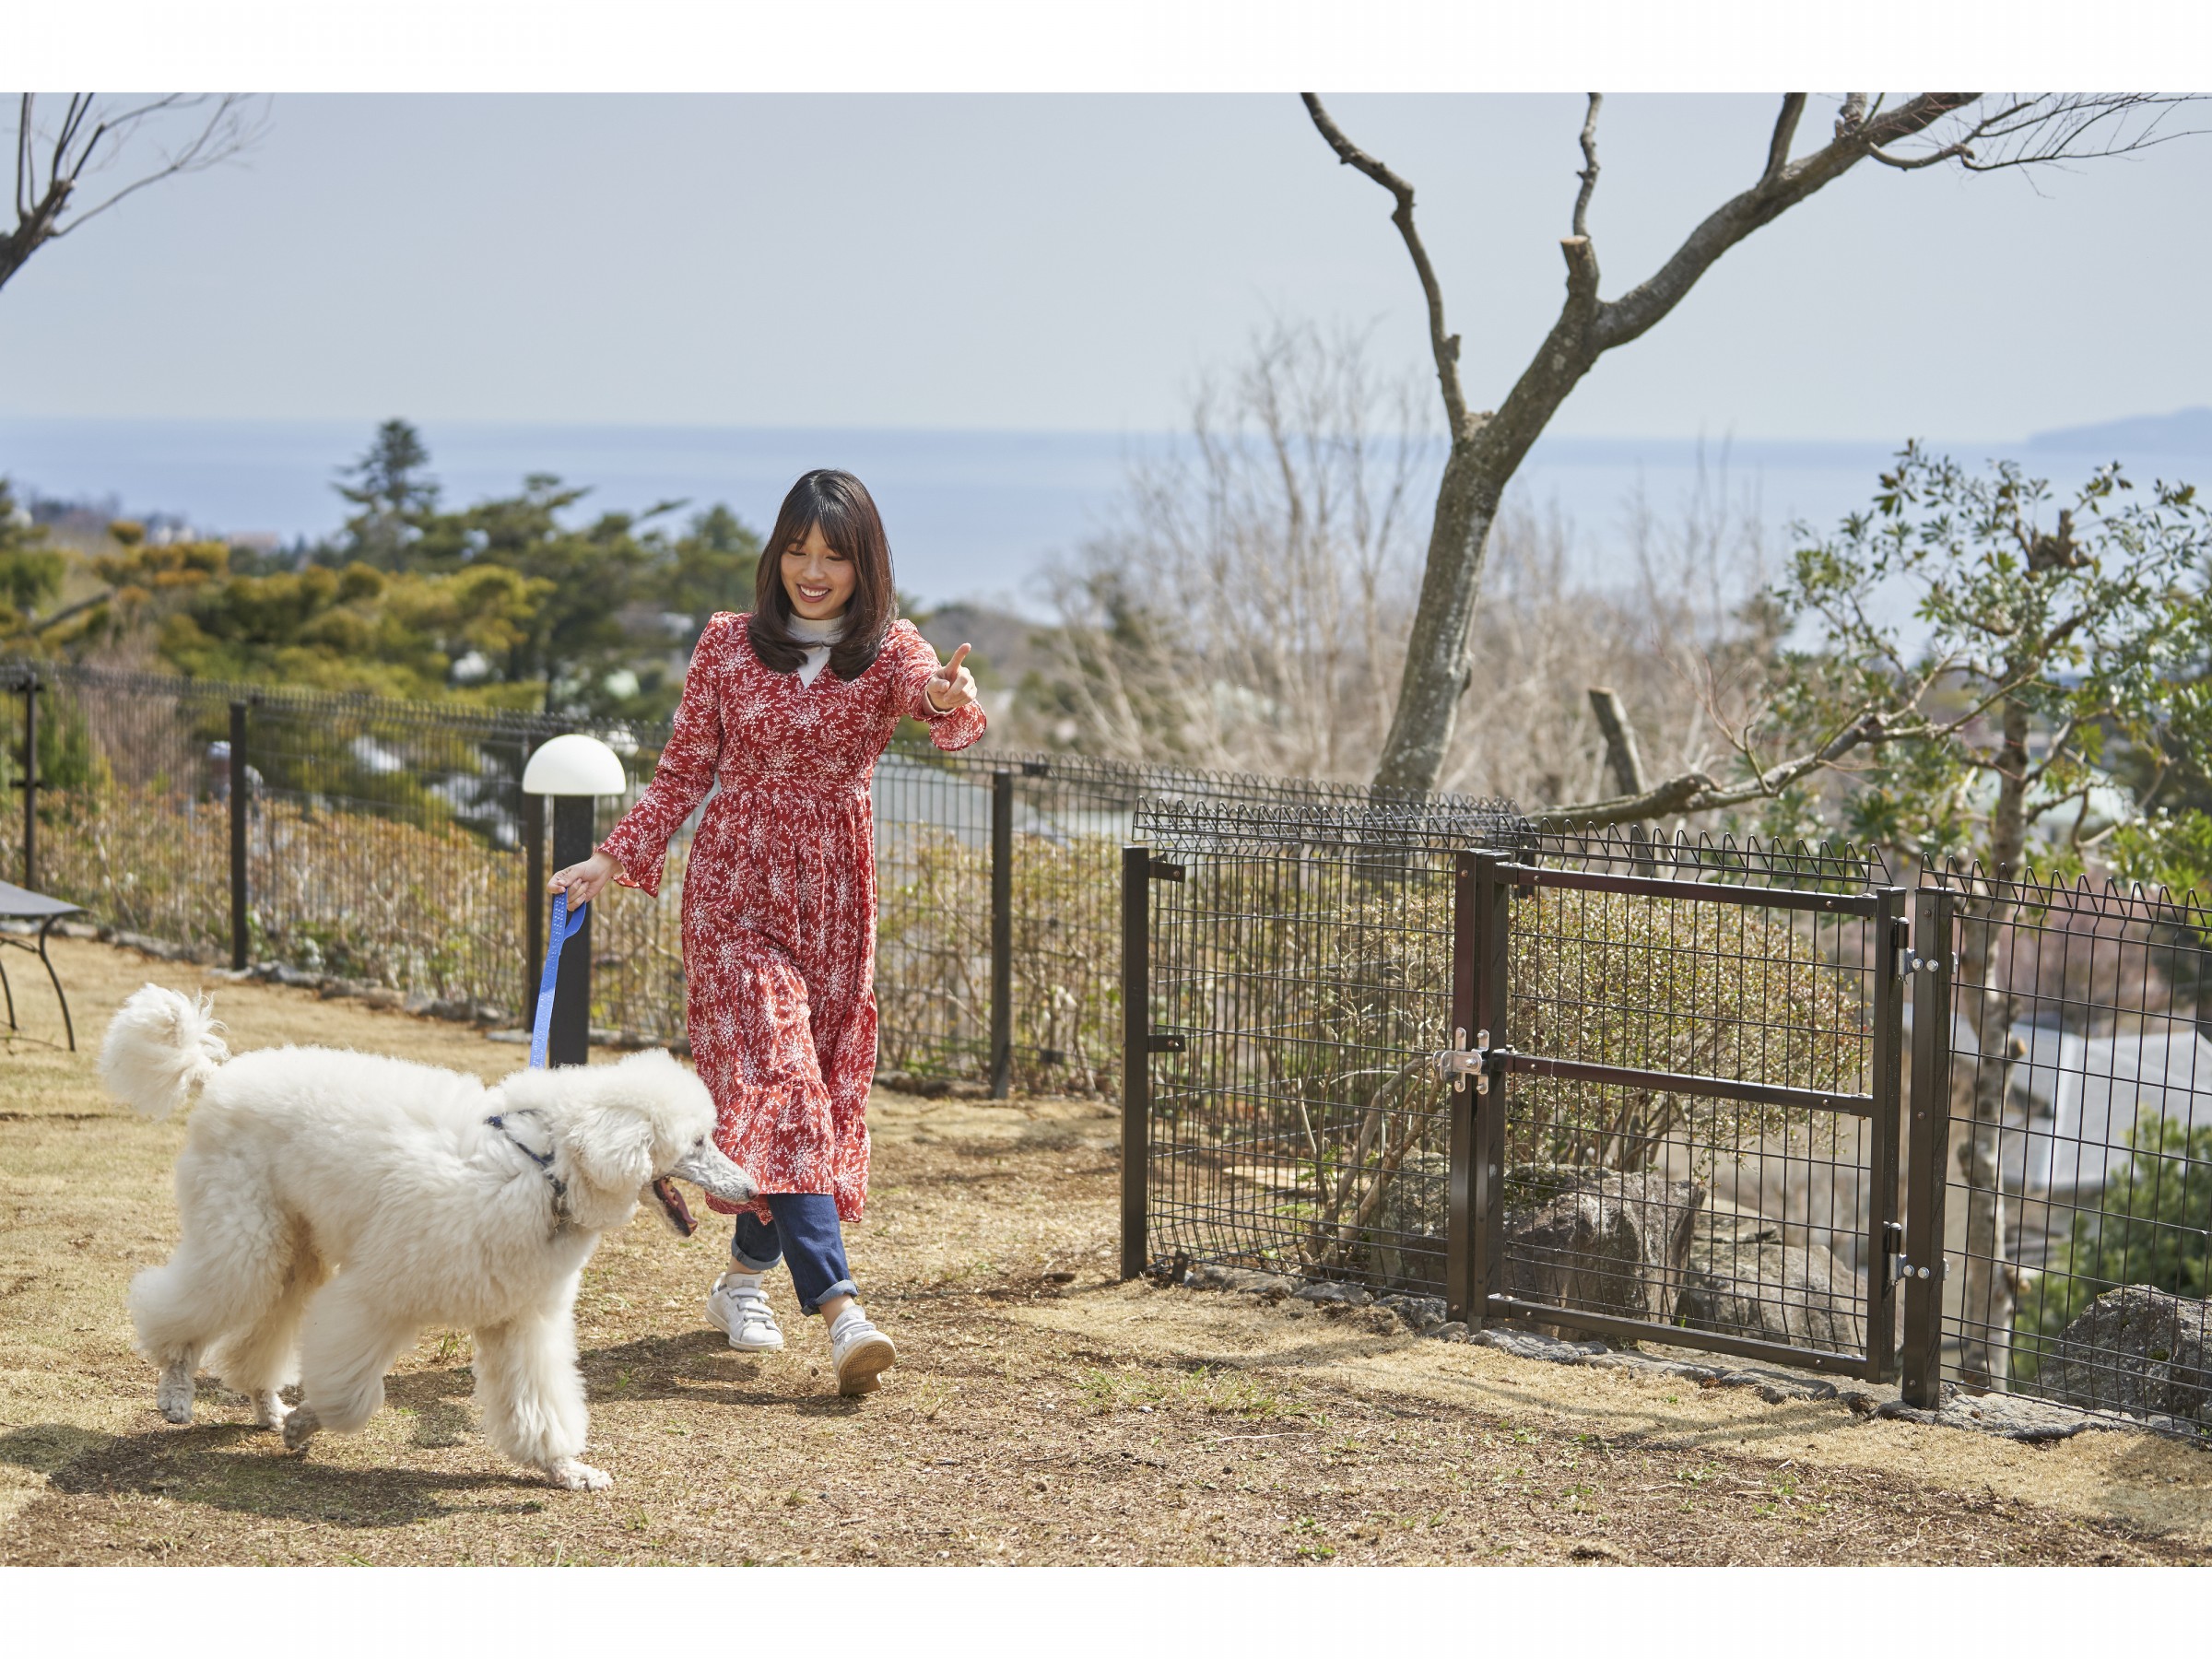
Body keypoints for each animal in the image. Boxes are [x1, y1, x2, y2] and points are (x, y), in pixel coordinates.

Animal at [103, 986, 756, 1495]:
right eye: (698, 1142)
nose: (752, 1189)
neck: (543, 1170)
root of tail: (217, 1078)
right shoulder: (375, 1297)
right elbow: (349, 1397)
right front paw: (307, 1425)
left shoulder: (520, 1319)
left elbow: (539, 1403)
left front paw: (564, 1469)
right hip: (244, 1237)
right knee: (184, 1305)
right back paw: (178, 1392)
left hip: (295, 1250)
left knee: (259, 1337)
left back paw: (266, 1404)